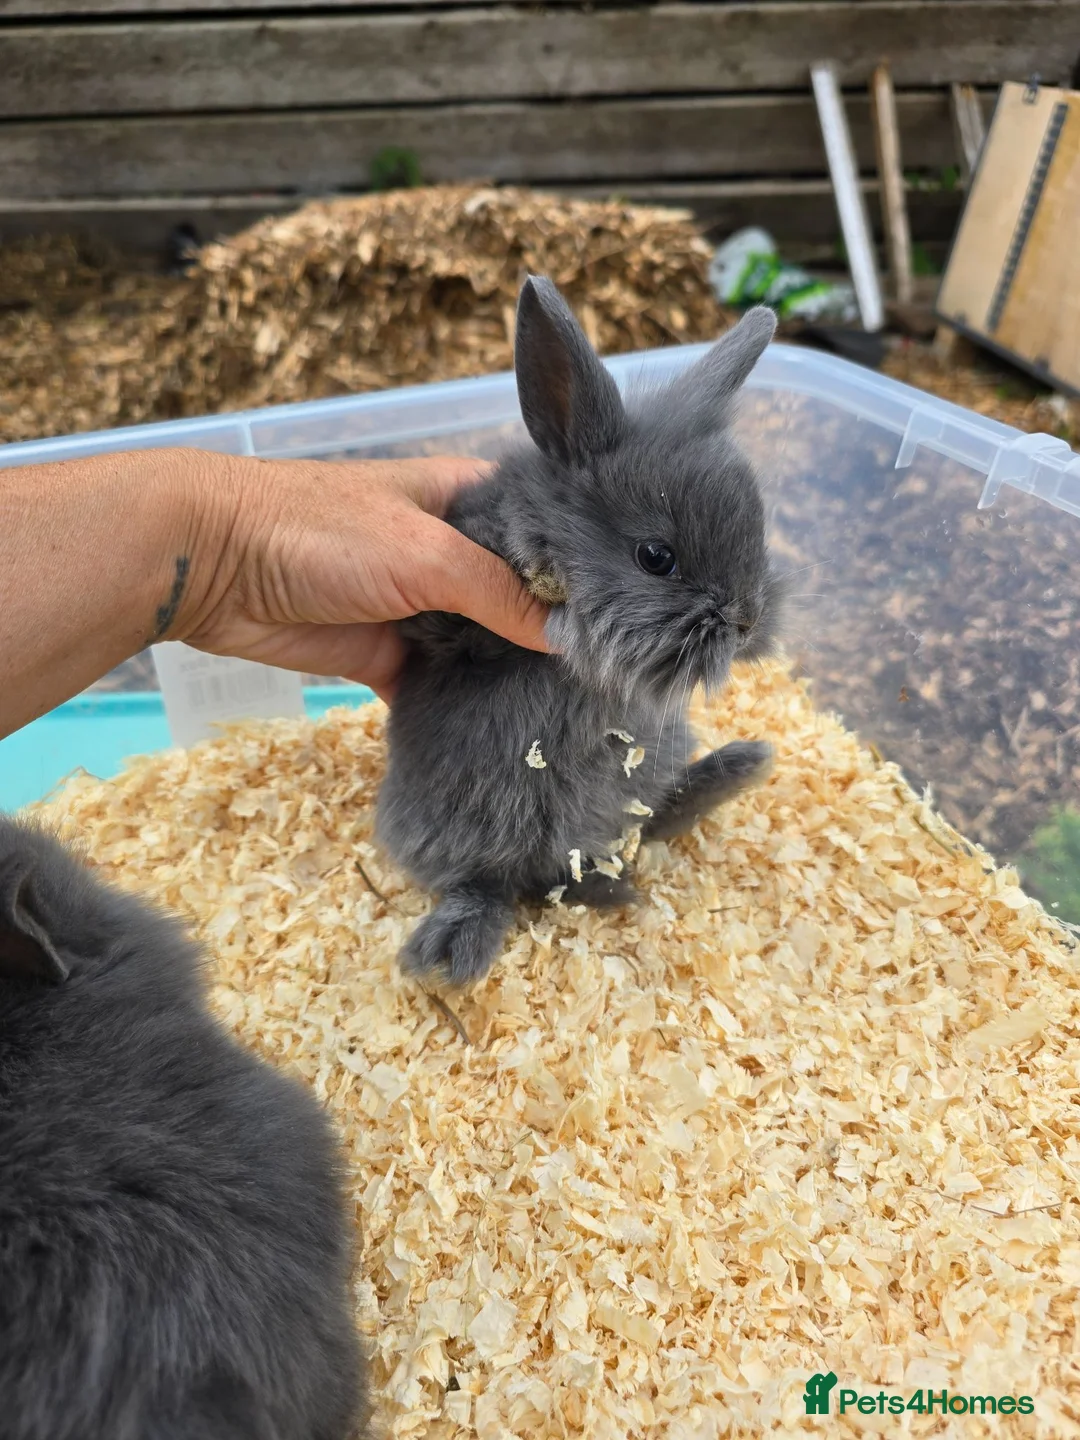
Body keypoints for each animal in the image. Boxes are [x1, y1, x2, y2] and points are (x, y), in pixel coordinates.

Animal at [377, 276, 783, 986]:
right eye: (656, 557)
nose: (748, 620)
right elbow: (444, 631)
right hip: (466, 830)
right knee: (491, 882)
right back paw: (453, 950)